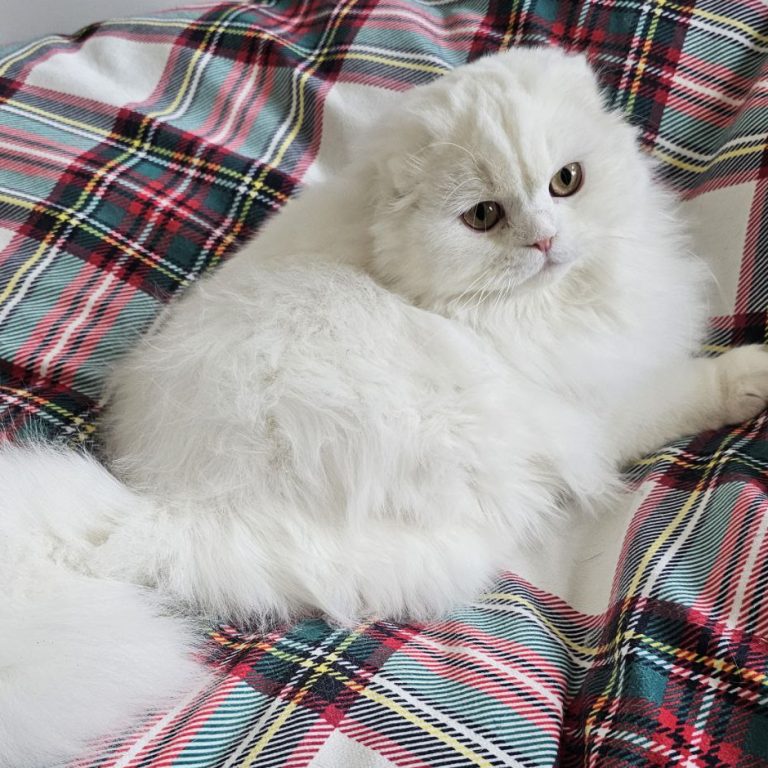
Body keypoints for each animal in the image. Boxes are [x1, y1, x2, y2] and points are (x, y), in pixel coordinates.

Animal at [1, 48, 768, 768]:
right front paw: (749, 373)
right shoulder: (600, 410)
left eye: (566, 182)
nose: (545, 241)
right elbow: (687, 390)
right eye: (484, 216)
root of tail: (169, 510)